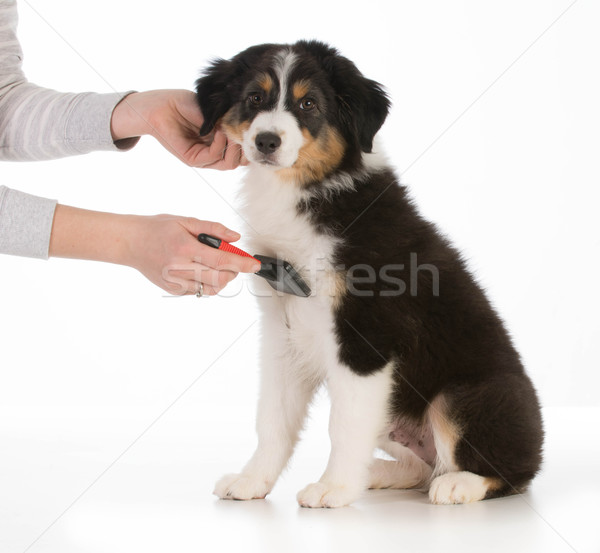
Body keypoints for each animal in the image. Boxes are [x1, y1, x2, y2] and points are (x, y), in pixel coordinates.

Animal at [196, 41, 544, 506]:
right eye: (254, 97)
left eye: (308, 104)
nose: (266, 140)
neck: (303, 189)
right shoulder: (282, 331)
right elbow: (273, 418)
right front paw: (253, 480)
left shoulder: (368, 334)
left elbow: (342, 424)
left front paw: (333, 488)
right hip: (393, 407)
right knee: (422, 465)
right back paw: (377, 473)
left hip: (465, 395)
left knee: (509, 472)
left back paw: (459, 483)